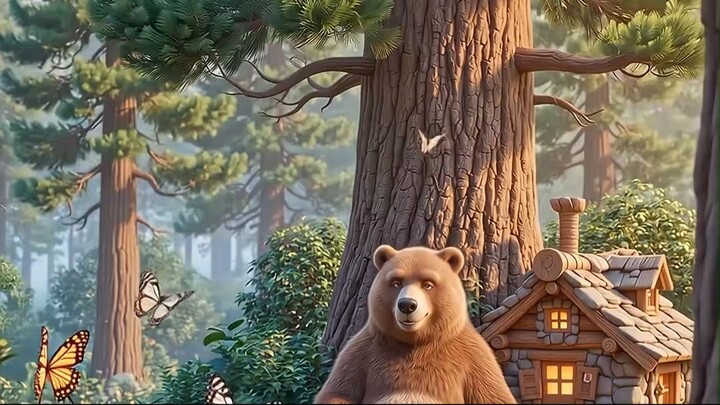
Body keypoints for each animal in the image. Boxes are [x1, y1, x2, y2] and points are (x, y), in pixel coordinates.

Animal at [315, 245, 516, 404]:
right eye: (396, 282)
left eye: (428, 284)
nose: (407, 305)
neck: (416, 342)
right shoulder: (364, 351)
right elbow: (338, 392)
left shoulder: (470, 355)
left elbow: (492, 394)